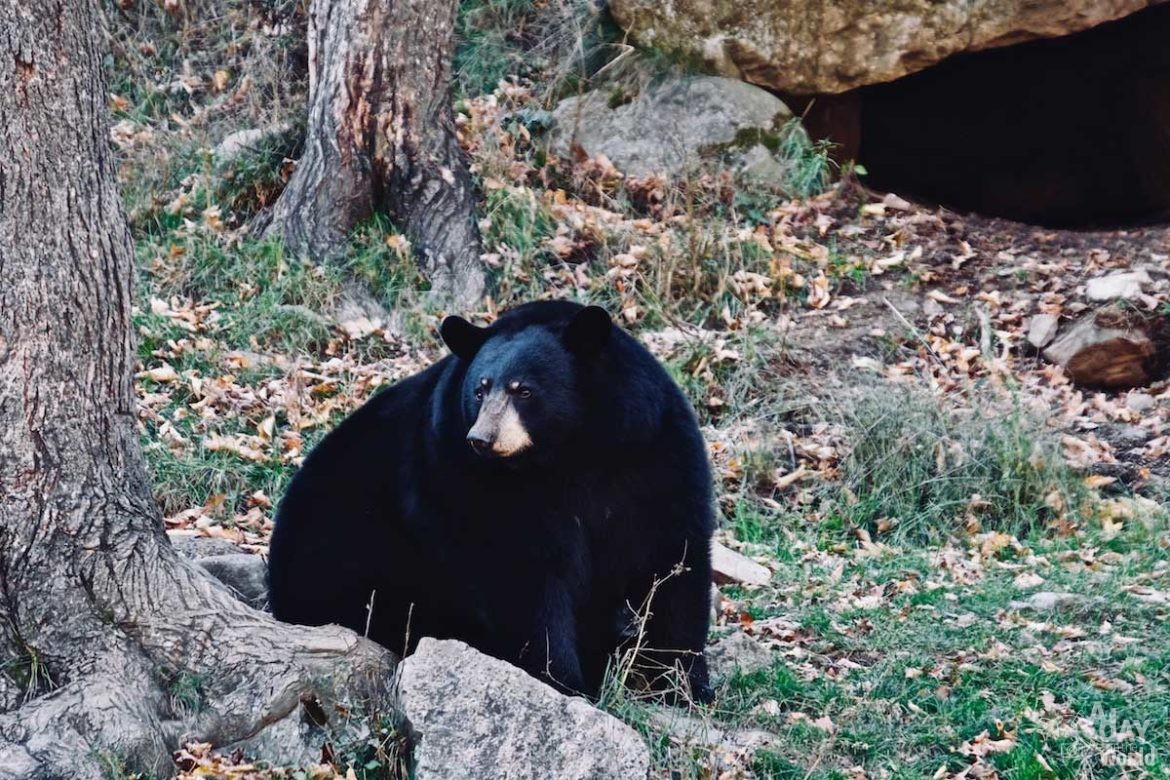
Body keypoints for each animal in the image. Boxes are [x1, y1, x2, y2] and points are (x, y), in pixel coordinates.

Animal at [269, 301, 716, 701]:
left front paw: (684, 685)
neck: (570, 454)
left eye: (524, 390)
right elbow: (520, 574)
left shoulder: (651, 452)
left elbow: (674, 559)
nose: (482, 439)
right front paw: (563, 680)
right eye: (480, 389)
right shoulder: (466, 479)